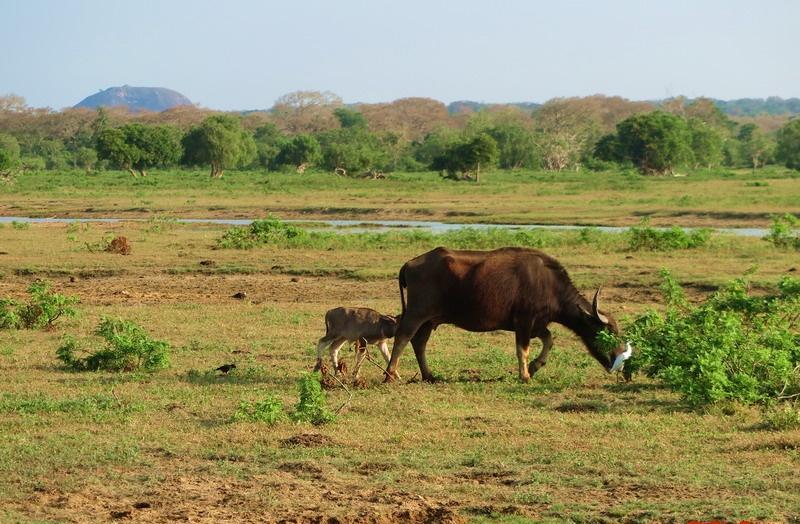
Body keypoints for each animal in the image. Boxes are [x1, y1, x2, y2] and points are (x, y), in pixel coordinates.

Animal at [386, 248, 632, 382]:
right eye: (607, 333)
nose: (619, 364)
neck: (549, 285)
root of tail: (409, 264)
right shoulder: (524, 321)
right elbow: (522, 349)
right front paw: (525, 375)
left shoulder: (537, 324)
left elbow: (549, 340)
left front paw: (535, 366)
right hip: (417, 313)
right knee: (403, 337)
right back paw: (390, 374)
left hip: (429, 320)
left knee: (419, 342)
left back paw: (428, 375)